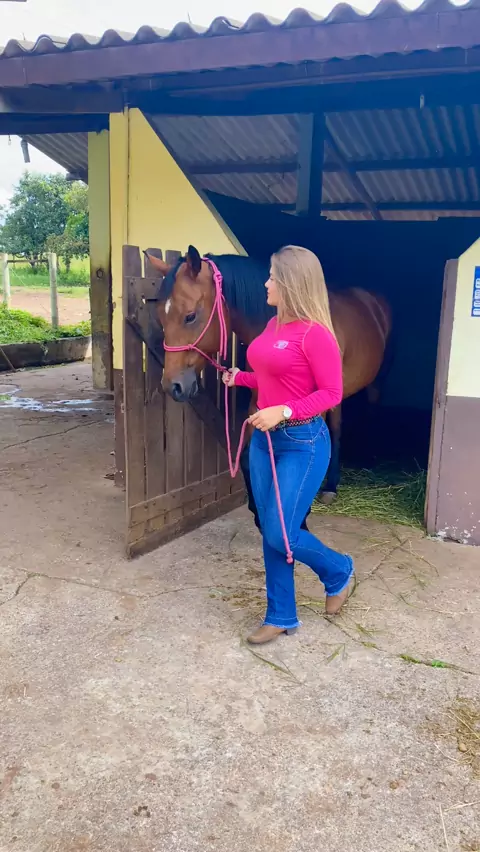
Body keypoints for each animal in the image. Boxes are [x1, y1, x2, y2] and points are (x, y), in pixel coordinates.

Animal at [147, 245, 391, 528]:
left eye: (190, 316)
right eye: (160, 317)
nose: (172, 386)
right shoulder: (258, 405)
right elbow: (247, 459)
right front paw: (259, 513)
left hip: (373, 384)